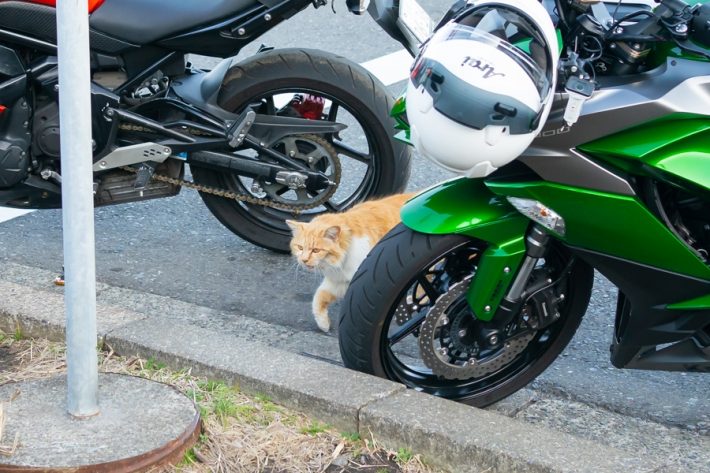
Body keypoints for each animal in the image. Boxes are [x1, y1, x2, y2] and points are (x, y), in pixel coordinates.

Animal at [287, 192, 416, 332]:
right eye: (300, 248)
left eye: (316, 250)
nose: (304, 260)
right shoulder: (339, 281)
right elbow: (318, 297)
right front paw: (323, 323)